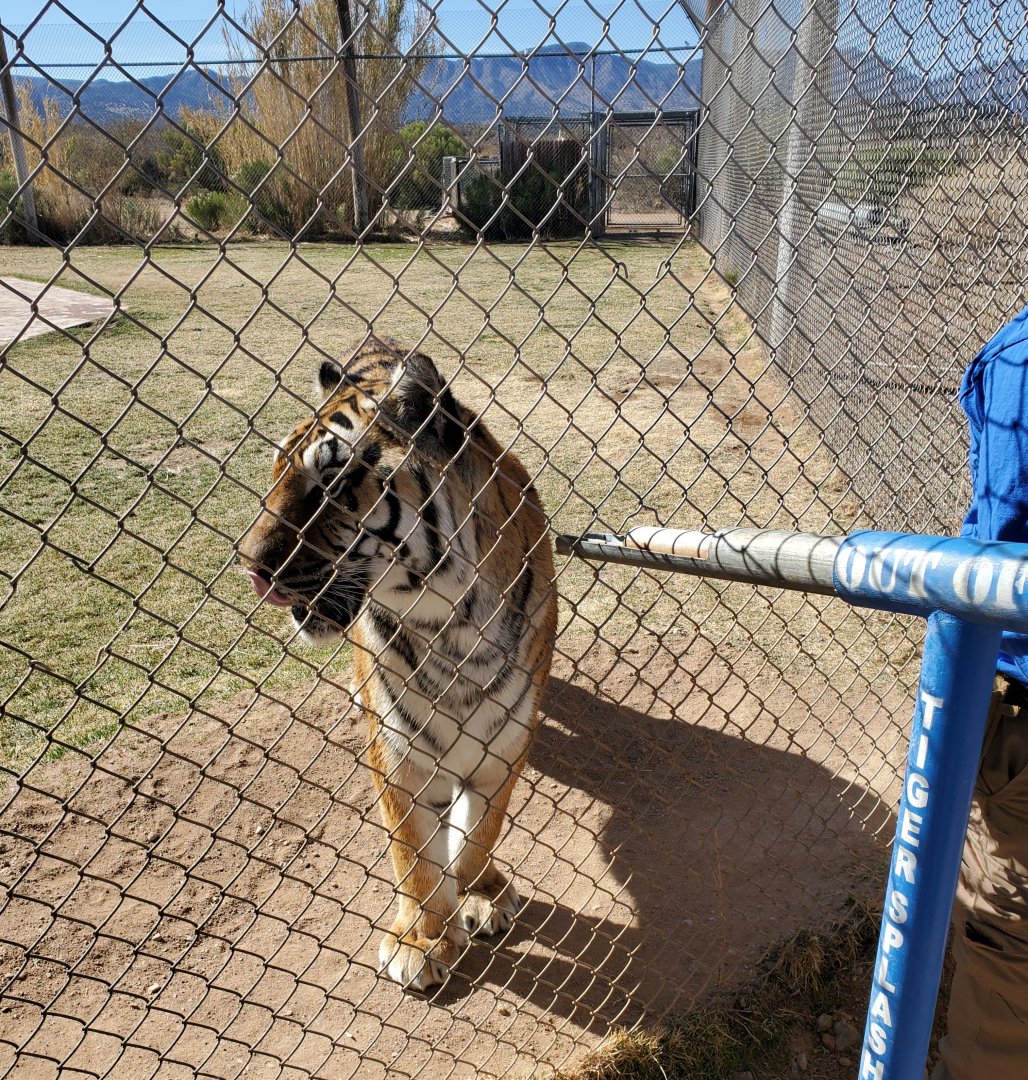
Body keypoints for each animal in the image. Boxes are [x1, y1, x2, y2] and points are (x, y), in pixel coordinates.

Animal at [238, 338, 557, 991]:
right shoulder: (398, 750)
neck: (452, 624)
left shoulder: (506, 741)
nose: (247, 565)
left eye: (330, 483)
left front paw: (481, 893)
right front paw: (422, 938)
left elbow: (481, 830)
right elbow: (412, 850)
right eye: (277, 473)